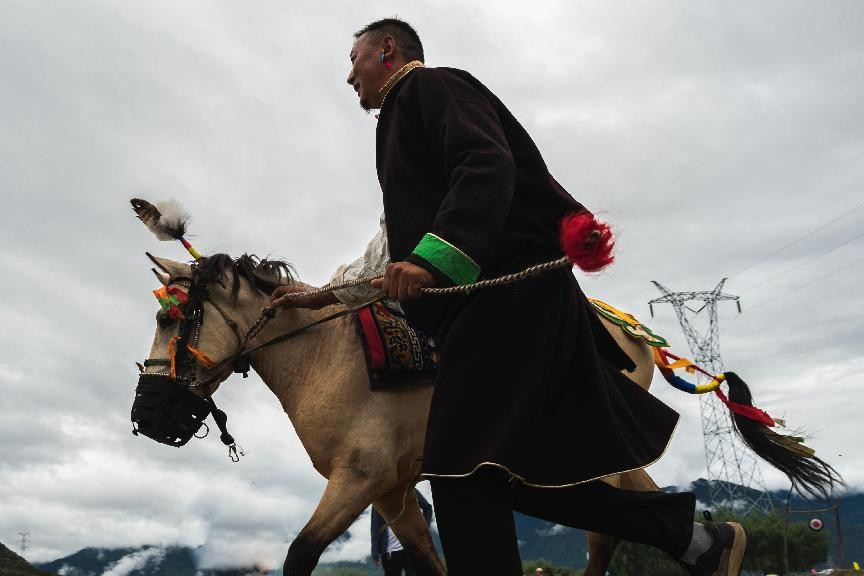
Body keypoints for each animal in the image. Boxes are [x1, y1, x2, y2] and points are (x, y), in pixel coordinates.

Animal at [135, 252, 664, 575]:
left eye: (168, 319)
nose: (146, 415)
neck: (324, 354)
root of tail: (627, 329)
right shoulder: (391, 492)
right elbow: (429, 562)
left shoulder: (359, 477)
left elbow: (300, 554)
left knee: (608, 529)